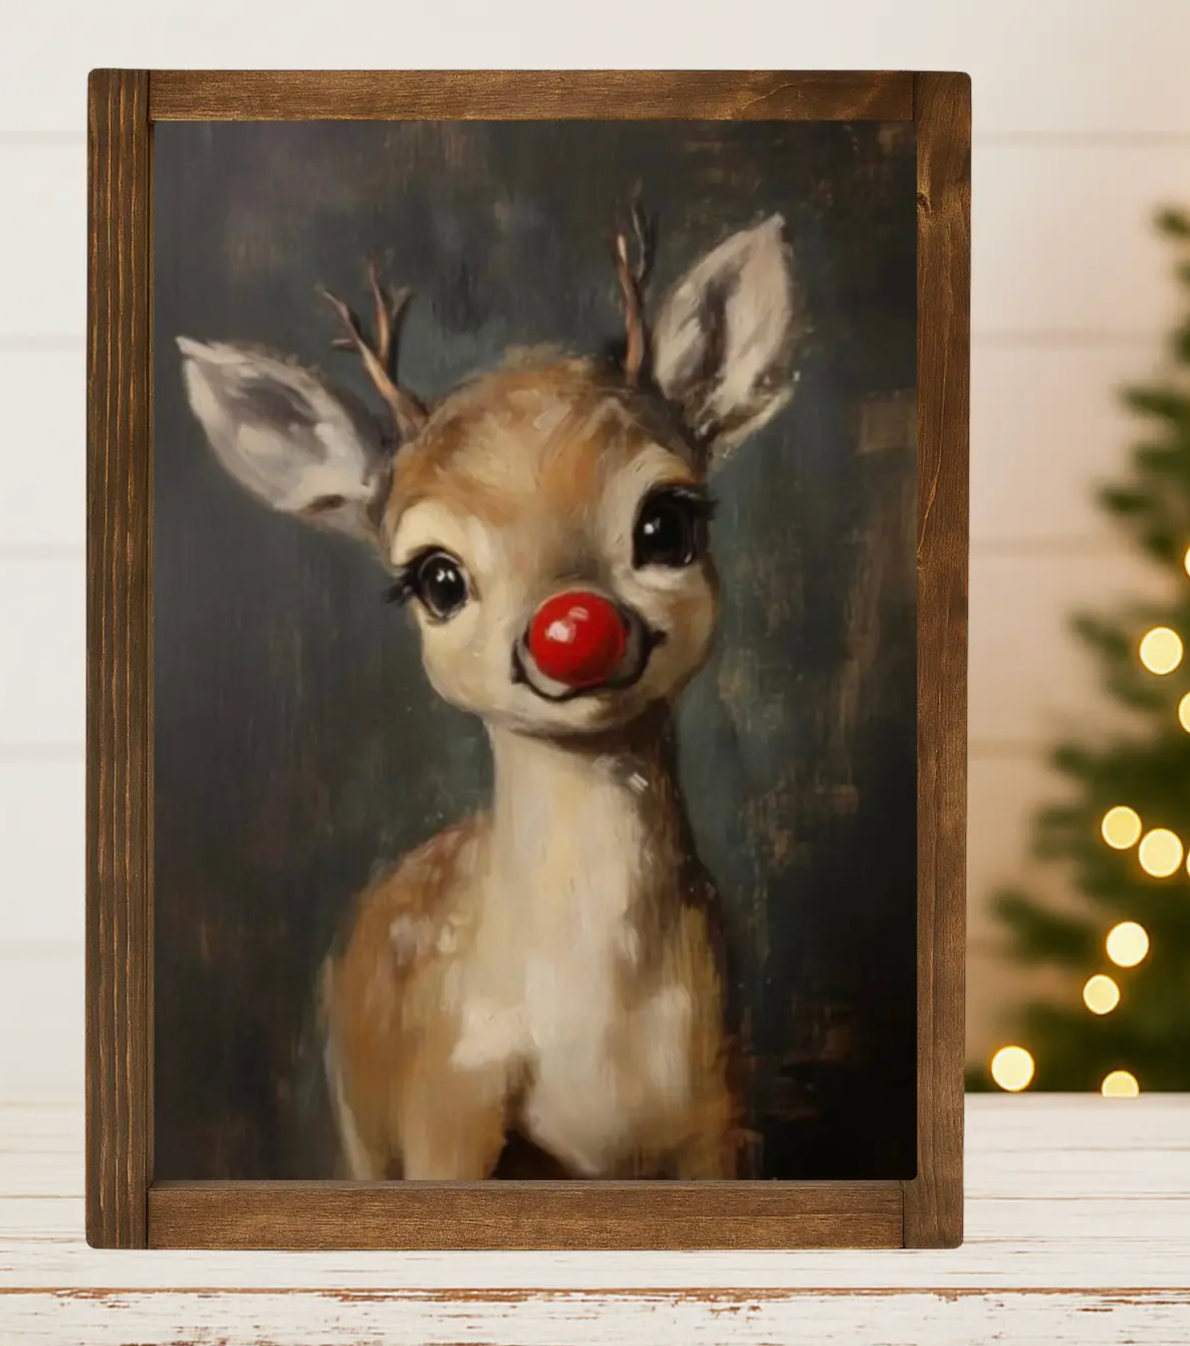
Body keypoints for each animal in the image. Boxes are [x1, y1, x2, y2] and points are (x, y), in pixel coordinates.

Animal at [177, 205, 804, 1181]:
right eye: (436, 577)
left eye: (667, 522)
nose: (573, 630)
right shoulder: (446, 1102)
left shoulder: (720, 1106)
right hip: (360, 1121)